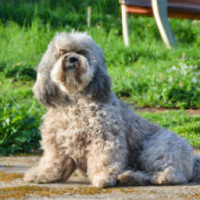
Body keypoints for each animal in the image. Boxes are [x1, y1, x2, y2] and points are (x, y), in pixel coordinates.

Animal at [23, 31, 200, 188]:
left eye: (82, 52)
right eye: (62, 52)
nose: (72, 58)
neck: (75, 101)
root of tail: (193, 160)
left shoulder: (104, 138)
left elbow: (104, 160)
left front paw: (103, 177)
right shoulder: (57, 144)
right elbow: (53, 162)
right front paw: (42, 174)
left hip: (156, 150)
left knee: (171, 175)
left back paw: (135, 177)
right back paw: (129, 176)